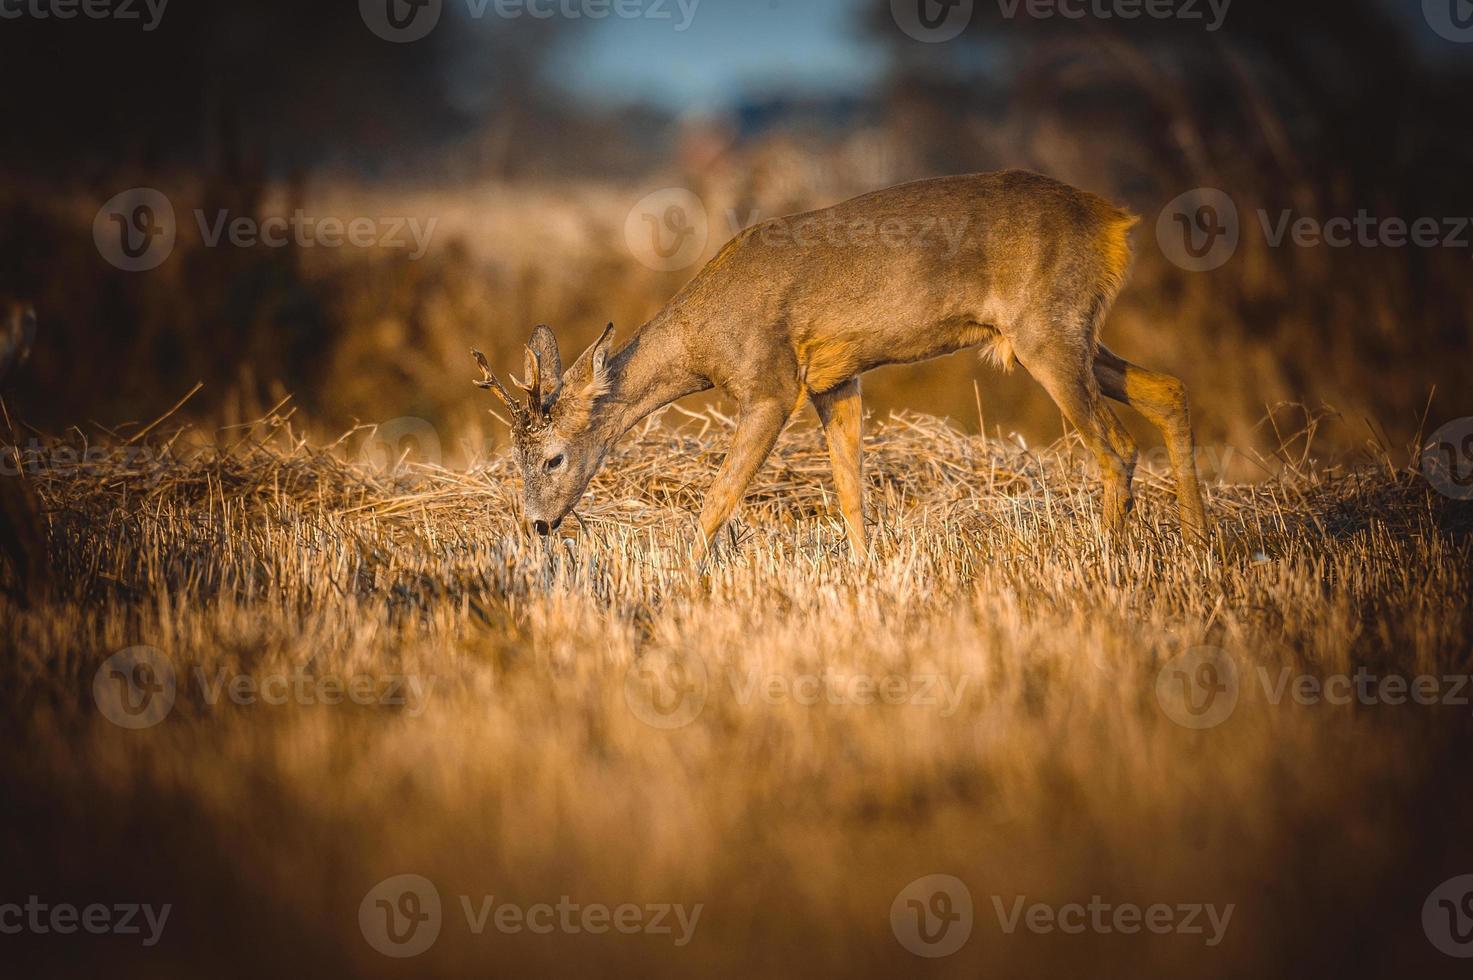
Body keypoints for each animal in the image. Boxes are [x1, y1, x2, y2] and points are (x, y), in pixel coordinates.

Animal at [471, 168, 1207, 551]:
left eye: (552, 458)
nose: (537, 524)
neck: (705, 340)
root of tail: (1115, 221)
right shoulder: (836, 380)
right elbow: (851, 494)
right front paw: (863, 573)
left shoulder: (772, 384)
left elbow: (717, 499)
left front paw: (685, 574)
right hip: (1064, 334)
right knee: (1169, 389)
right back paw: (1199, 543)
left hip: (1047, 331)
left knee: (1115, 448)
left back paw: (1108, 557)